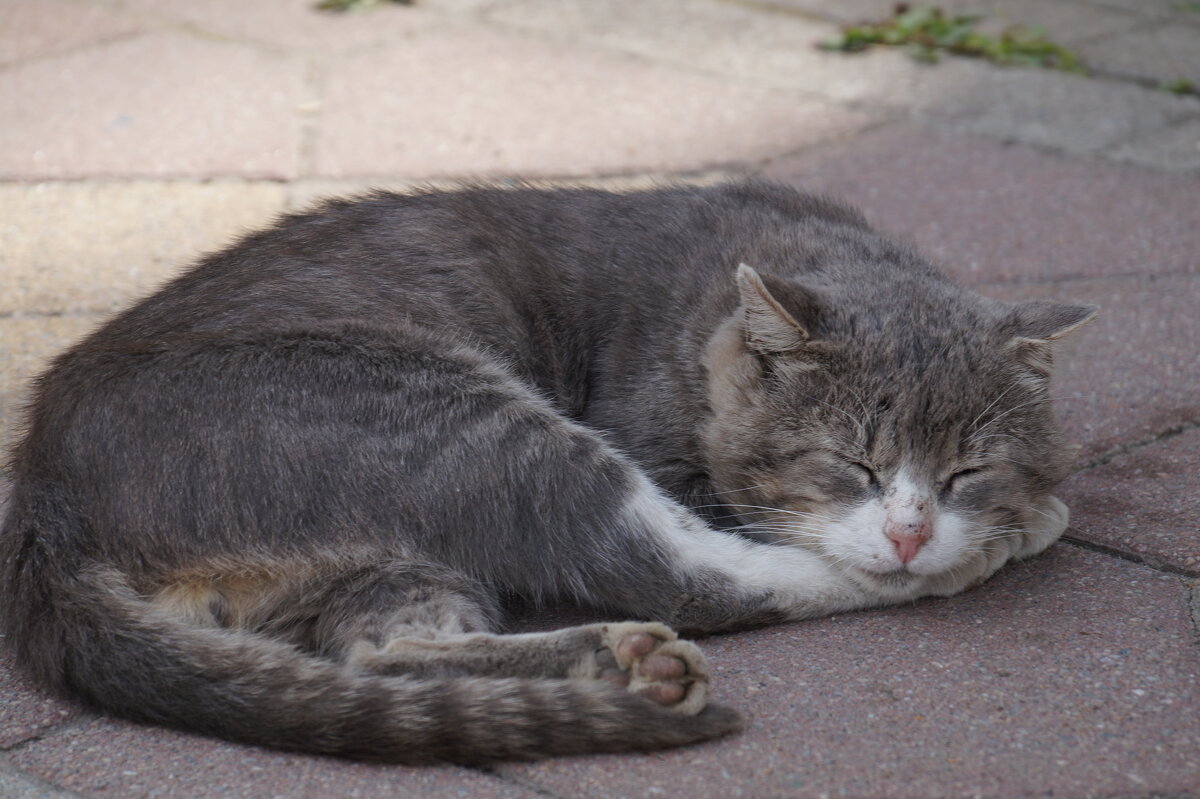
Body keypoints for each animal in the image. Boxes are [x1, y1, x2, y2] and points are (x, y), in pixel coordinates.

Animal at [0, 178, 1094, 758]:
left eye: (966, 471)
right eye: (849, 462)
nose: (913, 530)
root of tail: (43, 499)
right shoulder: (655, 449)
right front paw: (1018, 522)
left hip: (383, 547)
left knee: (380, 653)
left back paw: (619, 665)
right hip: (463, 423)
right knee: (692, 578)